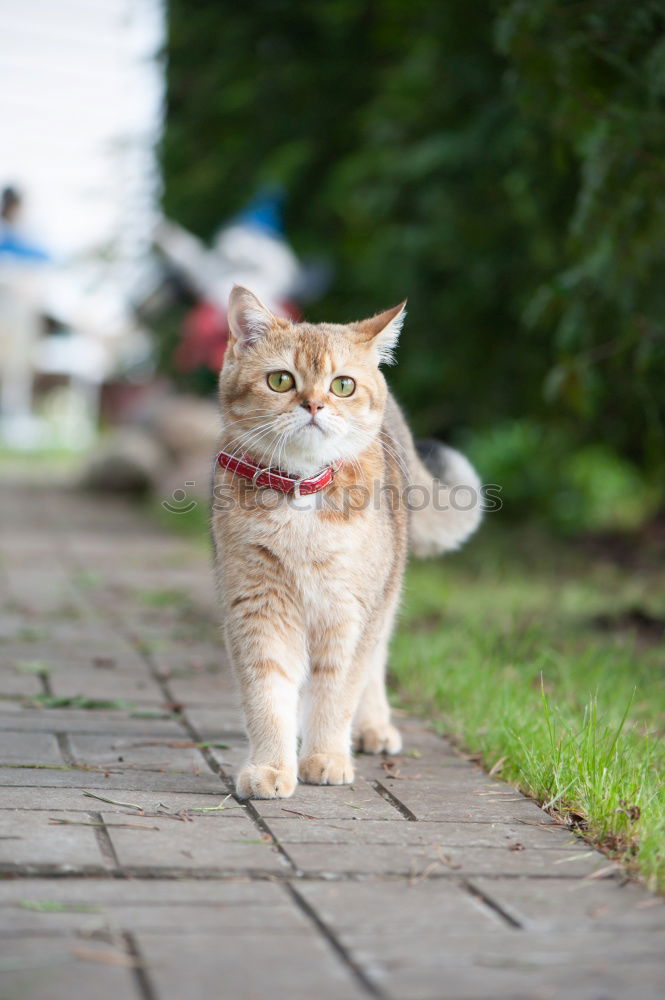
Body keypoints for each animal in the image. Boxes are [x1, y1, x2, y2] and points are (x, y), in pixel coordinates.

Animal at [213, 286, 482, 800]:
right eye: (281, 380)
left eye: (341, 386)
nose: (314, 406)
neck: (301, 494)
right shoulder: (258, 607)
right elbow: (267, 693)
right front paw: (272, 766)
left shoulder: (351, 610)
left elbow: (337, 692)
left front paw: (325, 757)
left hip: (385, 594)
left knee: (374, 664)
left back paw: (373, 728)